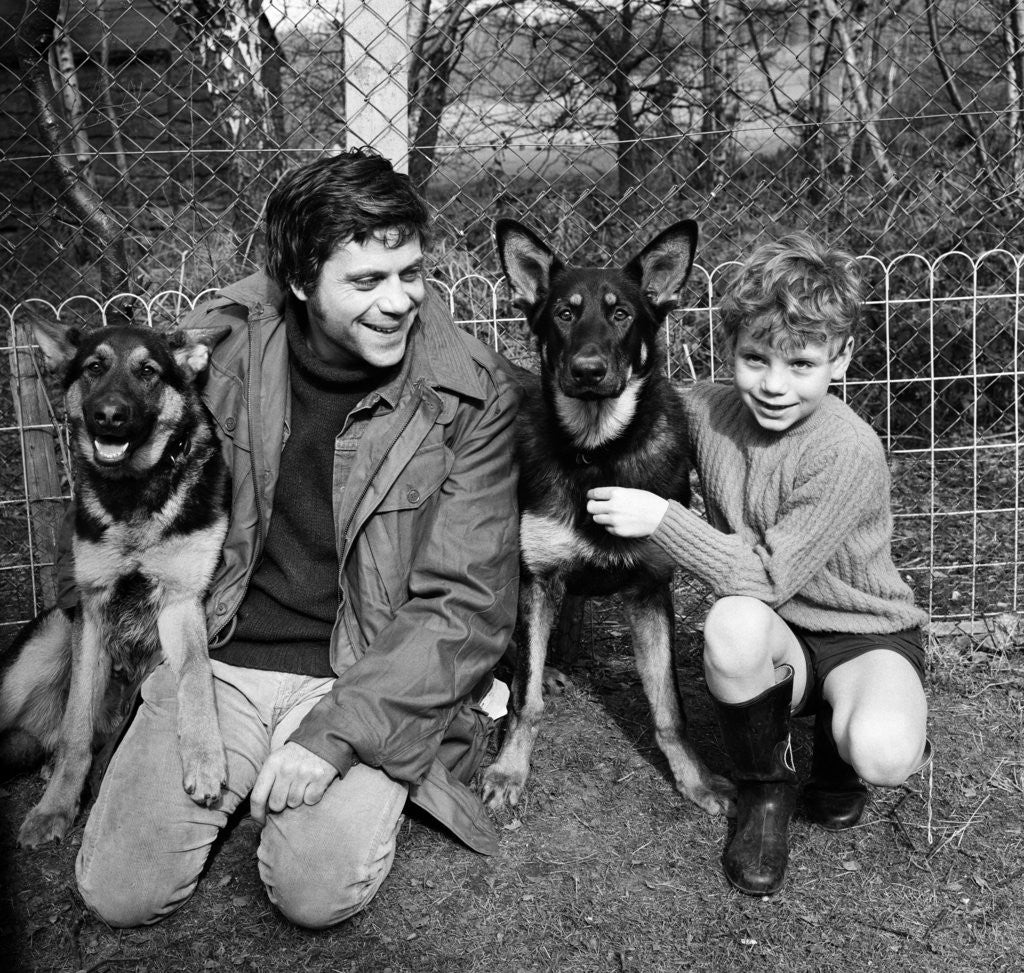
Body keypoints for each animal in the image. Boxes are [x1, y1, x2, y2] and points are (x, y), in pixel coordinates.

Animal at [0, 317, 231, 843]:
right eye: (93, 367)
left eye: (148, 371)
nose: (108, 416)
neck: (133, 493)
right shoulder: (91, 611)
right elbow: (76, 728)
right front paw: (56, 806)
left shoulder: (182, 603)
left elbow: (197, 677)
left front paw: (205, 760)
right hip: (46, 641)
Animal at [481, 217, 737, 819]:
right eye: (564, 313)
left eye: (621, 315)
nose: (588, 370)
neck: (598, 452)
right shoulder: (538, 580)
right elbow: (524, 701)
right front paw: (510, 769)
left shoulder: (650, 589)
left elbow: (669, 708)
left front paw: (696, 781)